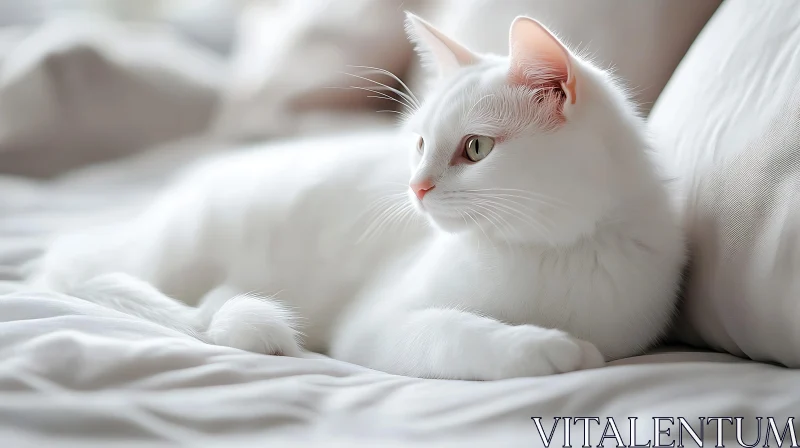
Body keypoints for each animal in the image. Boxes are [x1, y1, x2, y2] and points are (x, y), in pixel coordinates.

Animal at [28, 13, 684, 378]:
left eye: (475, 149)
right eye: (419, 144)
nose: (416, 186)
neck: (554, 251)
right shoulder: (380, 323)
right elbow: (458, 333)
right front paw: (544, 347)